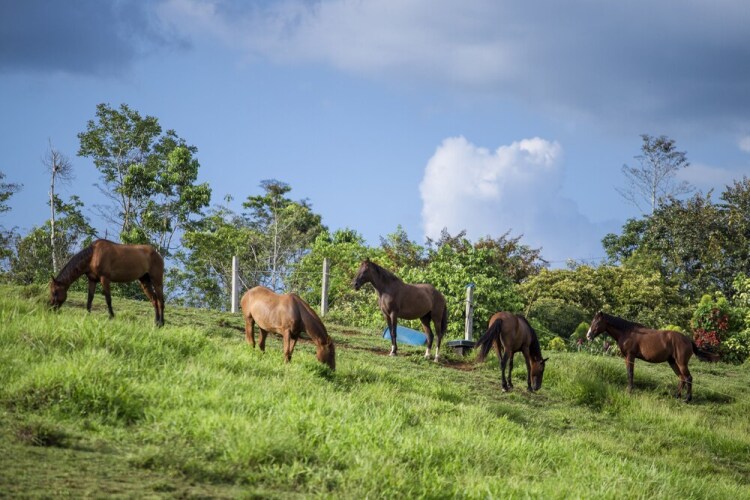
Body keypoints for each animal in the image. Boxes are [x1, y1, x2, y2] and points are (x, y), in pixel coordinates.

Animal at [586, 311, 720, 402]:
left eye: (597, 322)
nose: (588, 336)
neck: (627, 331)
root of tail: (688, 340)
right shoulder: (626, 358)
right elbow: (629, 373)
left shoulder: (630, 356)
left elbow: (630, 373)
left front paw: (629, 390)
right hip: (673, 362)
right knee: (681, 378)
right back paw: (677, 396)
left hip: (681, 363)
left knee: (688, 378)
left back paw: (687, 399)